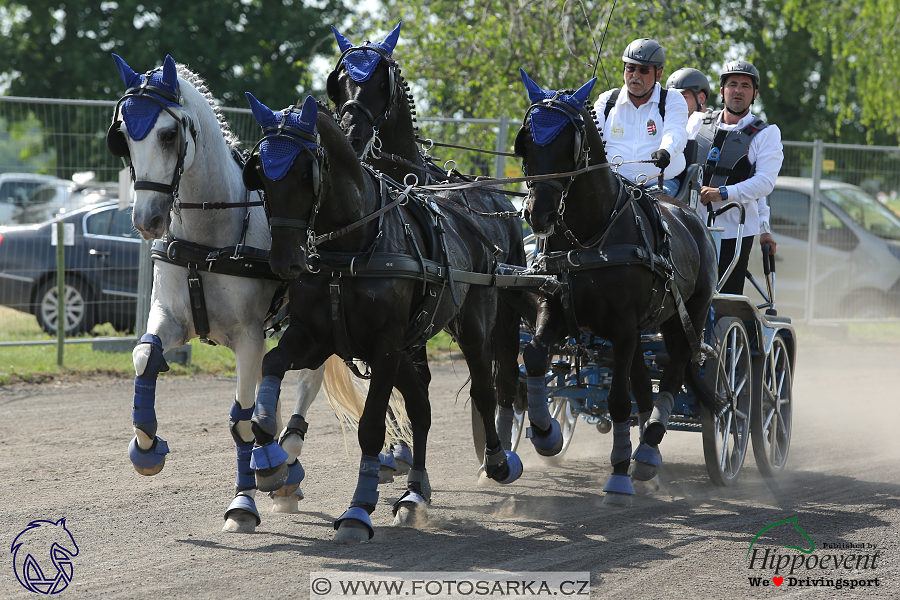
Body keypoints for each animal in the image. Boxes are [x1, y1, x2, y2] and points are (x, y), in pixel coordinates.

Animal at [109, 55, 366, 536]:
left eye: (168, 135)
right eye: (124, 138)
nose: (147, 219)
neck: (210, 239)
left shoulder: (249, 336)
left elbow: (242, 421)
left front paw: (243, 502)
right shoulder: (169, 316)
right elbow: (144, 356)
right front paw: (146, 447)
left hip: (317, 326)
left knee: (308, 383)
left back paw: (290, 465)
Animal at [241, 95, 520, 544]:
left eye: (304, 173)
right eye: (261, 176)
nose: (286, 262)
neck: (351, 247)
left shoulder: (384, 346)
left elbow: (371, 426)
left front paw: (357, 510)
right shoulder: (314, 337)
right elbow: (271, 363)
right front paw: (269, 454)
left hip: (473, 327)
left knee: (483, 388)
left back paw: (496, 460)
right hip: (408, 350)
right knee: (421, 407)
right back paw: (414, 494)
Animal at [326, 22, 532, 454]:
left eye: (380, 83)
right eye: (340, 82)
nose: (351, 136)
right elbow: (403, 389)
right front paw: (394, 451)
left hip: (500, 311)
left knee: (504, 379)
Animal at [516, 69, 720, 502]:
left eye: (568, 144)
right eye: (527, 142)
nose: (538, 215)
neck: (588, 237)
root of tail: (690, 215)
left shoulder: (623, 327)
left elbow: (618, 399)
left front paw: (619, 475)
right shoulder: (555, 308)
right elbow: (537, 356)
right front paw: (545, 435)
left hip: (686, 316)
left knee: (674, 371)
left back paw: (647, 451)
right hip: (645, 327)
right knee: (644, 384)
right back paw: (646, 456)